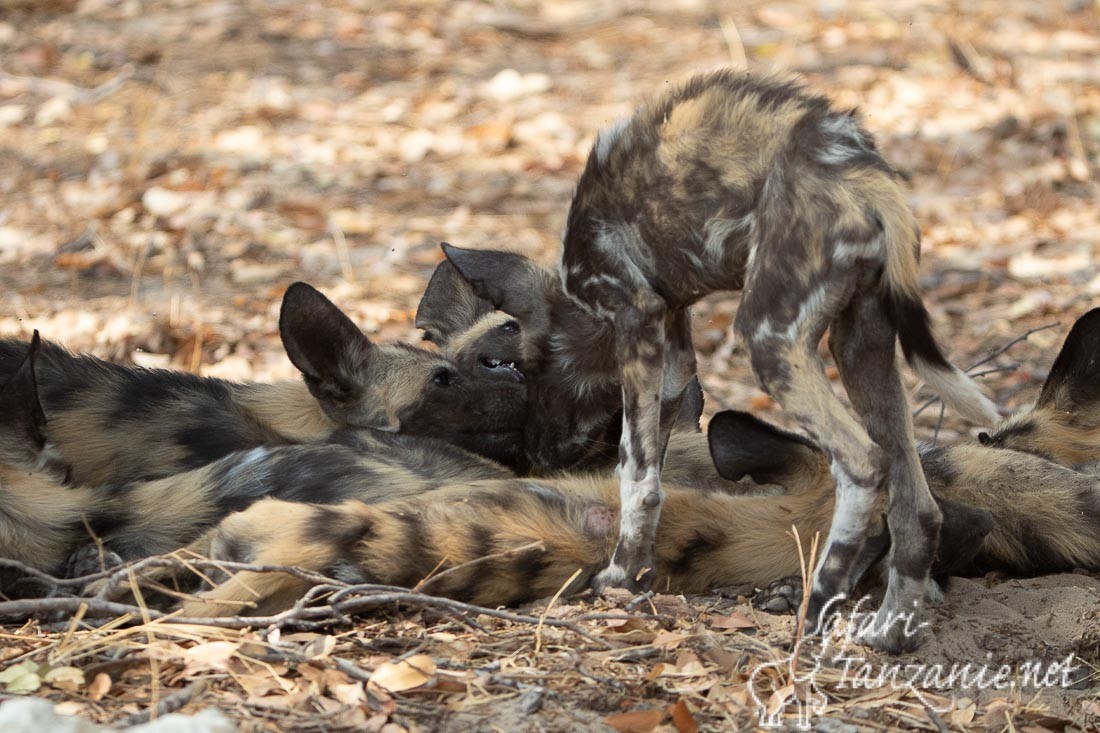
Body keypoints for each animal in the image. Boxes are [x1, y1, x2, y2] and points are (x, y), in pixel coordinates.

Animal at [437, 69, 998, 651]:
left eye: (529, 367)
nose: (539, 453)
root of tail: (861, 173)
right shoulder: (673, 356)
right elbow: (651, 478)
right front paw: (633, 569)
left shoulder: (635, 324)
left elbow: (635, 474)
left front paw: (618, 576)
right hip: (861, 343)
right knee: (919, 509)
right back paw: (890, 630)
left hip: (769, 342)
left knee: (864, 464)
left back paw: (815, 606)